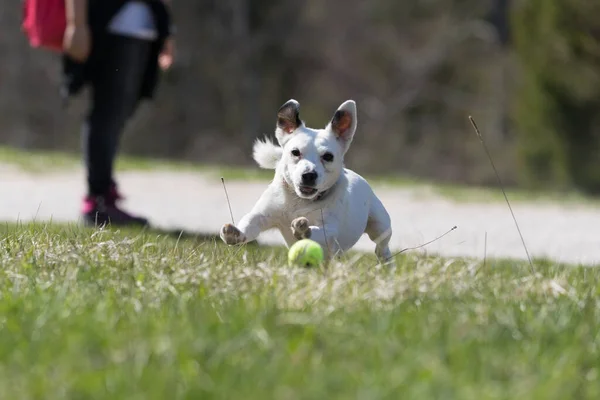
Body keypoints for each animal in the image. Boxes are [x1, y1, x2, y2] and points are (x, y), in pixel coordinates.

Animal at [220, 97, 394, 266]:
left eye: (328, 156)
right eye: (295, 152)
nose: (309, 174)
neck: (300, 201)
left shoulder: (330, 228)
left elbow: (320, 231)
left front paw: (304, 230)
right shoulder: (264, 214)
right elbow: (250, 221)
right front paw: (235, 233)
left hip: (380, 225)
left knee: (382, 245)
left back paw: (386, 262)